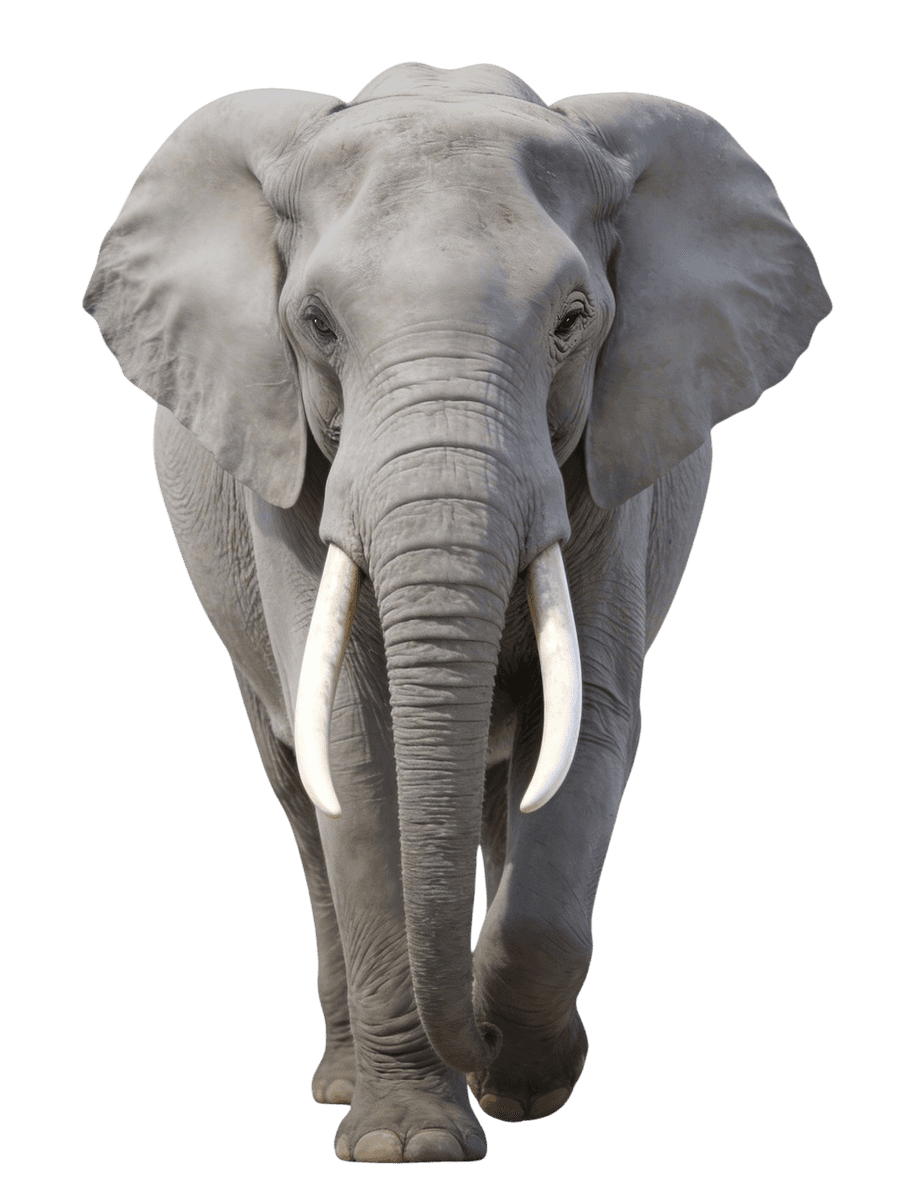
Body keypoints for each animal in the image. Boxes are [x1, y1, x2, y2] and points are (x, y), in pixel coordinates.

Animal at [84, 62, 829, 1163]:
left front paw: (524, 1077)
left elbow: (588, 722)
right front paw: (413, 1144)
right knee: (302, 797)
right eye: (316, 324)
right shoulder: (282, 462)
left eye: (573, 322)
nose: (478, 1049)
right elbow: (353, 750)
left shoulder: (614, 464)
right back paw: (341, 1081)